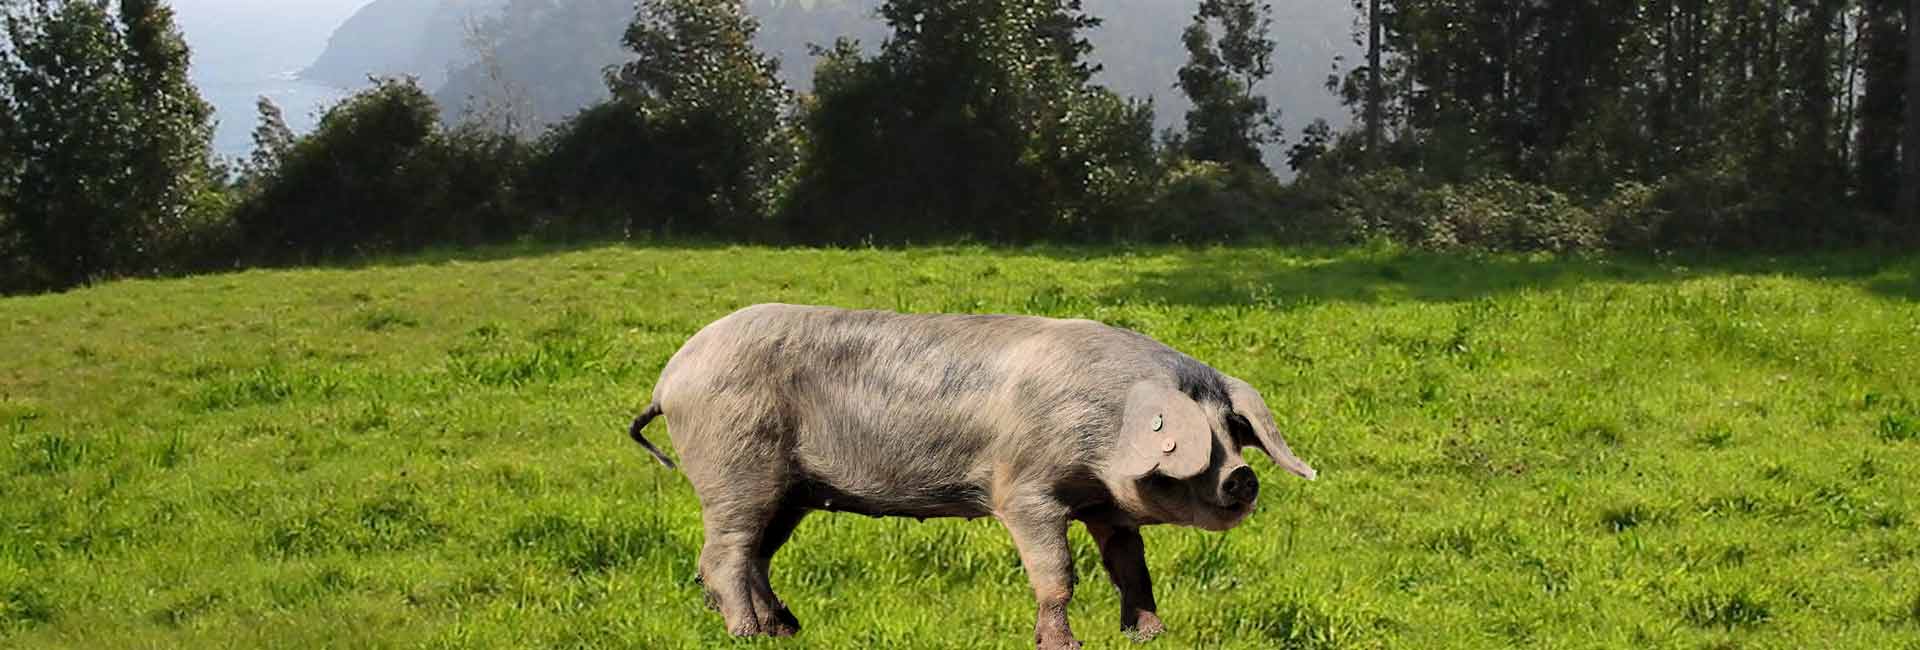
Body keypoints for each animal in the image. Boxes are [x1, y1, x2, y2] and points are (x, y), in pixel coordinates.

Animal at [626, 303, 1318, 649]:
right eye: (1185, 441)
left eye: (1233, 430)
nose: (1244, 478)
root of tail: (671, 375)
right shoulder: (1026, 491)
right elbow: (1057, 574)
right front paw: (1060, 644)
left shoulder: (1106, 508)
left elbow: (1131, 567)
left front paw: (1151, 635)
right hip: (736, 466)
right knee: (722, 557)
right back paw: (746, 635)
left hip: (789, 492)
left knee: (756, 558)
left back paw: (787, 629)